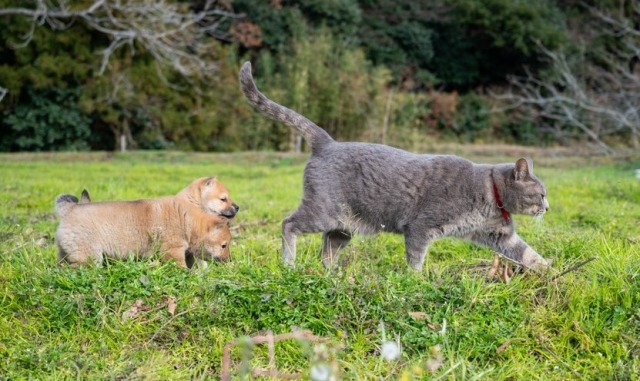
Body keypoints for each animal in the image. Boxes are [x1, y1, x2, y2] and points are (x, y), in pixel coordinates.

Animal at [53, 182, 231, 266]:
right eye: (224, 246)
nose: (229, 260)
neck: (186, 219)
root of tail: (70, 209)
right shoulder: (172, 250)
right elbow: (181, 266)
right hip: (89, 258)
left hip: (66, 254)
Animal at [240, 61, 552, 270]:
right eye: (541, 194)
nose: (548, 208)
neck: (490, 193)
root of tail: (328, 142)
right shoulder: (421, 227)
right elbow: (415, 259)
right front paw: (417, 281)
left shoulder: (500, 236)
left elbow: (530, 255)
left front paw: (553, 273)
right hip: (322, 212)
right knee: (288, 224)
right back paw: (289, 263)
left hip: (342, 228)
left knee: (326, 252)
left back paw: (330, 275)